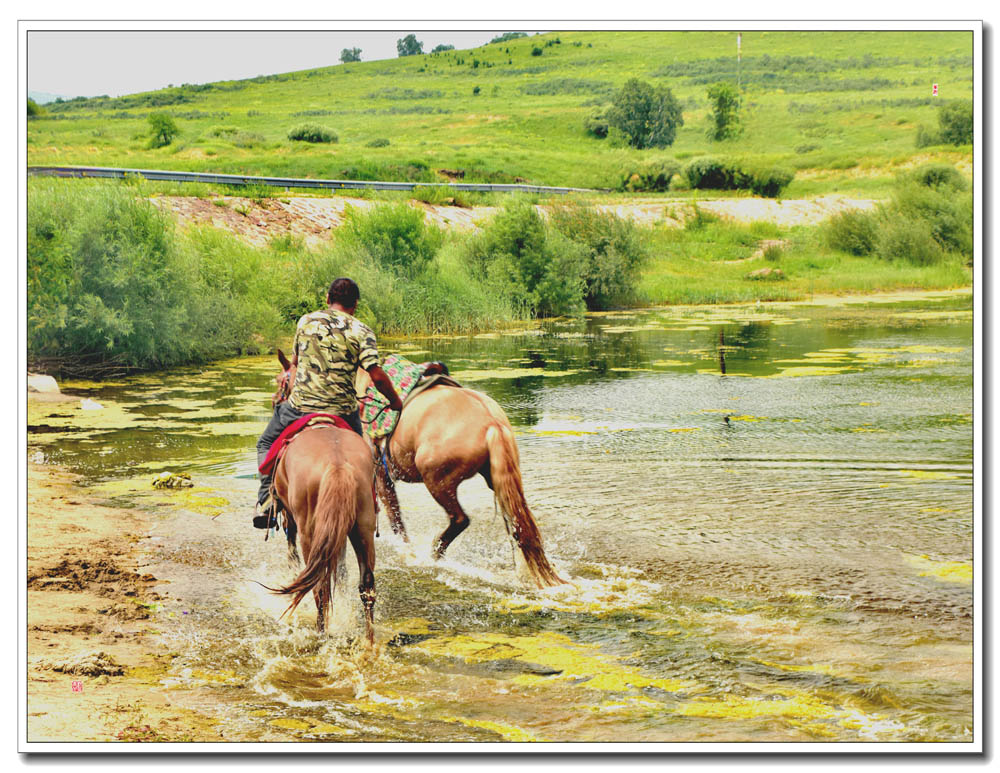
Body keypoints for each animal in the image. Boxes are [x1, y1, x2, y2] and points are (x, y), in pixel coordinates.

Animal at [266, 352, 378, 644]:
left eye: (282, 381)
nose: (275, 401)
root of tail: (338, 465)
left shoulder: (289, 516)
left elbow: (292, 551)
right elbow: (341, 568)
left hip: (311, 531)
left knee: (318, 586)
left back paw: (321, 633)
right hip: (363, 527)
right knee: (366, 585)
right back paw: (370, 640)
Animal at [356, 364, 568, 588]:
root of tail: (493, 424)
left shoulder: (380, 476)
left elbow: (396, 520)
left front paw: (407, 553)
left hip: (437, 482)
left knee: (460, 519)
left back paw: (434, 554)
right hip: (498, 481)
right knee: (519, 527)